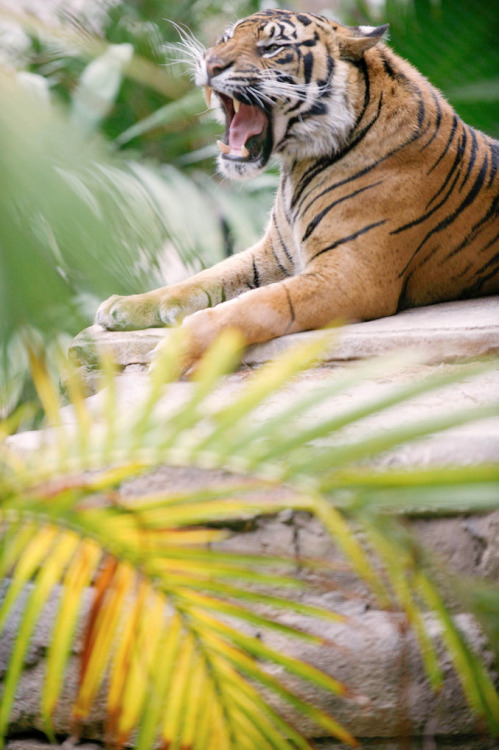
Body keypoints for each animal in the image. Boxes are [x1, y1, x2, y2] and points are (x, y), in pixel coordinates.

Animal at [94, 5, 499, 370]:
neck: (297, 165)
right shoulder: (272, 253)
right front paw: (123, 306)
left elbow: (255, 305)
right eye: (224, 39)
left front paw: (172, 351)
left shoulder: (351, 277)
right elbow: (204, 277)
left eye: (272, 48)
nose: (210, 64)